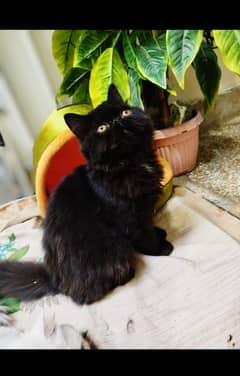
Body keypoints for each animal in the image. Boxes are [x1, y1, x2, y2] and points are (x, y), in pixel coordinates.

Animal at [0, 85, 173, 306]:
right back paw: (128, 273)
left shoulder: (144, 209)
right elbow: (145, 236)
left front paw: (160, 233)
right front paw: (160, 248)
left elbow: (150, 225)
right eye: (101, 128)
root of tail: (54, 280)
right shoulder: (130, 218)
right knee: (90, 295)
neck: (132, 162)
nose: (116, 122)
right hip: (116, 246)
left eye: (125, 112)